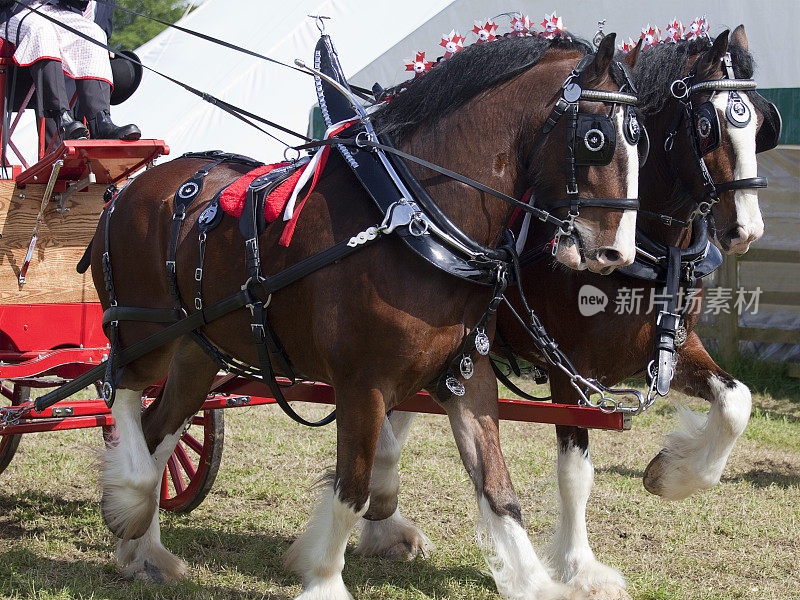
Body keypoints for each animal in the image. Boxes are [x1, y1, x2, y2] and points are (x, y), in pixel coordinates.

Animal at [87, 31, 648, 600]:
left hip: (198, 352)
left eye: (641, 138)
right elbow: (352, 488)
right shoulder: (362, 384)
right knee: (121, 392)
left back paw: (143, 550)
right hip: (145, 332)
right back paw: (129, 499)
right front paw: (323, 578)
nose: (617, 253)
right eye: (597, 138)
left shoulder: (467, 374)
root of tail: (127, 190)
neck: (415, 218)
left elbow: (496, 487)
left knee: (159, 433)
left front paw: (533, 581)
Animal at [360, 24, 780, 600]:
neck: (649, 246)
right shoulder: (566, 366)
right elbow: (575, 472)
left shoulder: (669, 347)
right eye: (706, 124)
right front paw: (581, 569)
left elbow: (737, 402)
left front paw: (670, 475)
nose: (747, 229)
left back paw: (382, 519)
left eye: (760, 121)